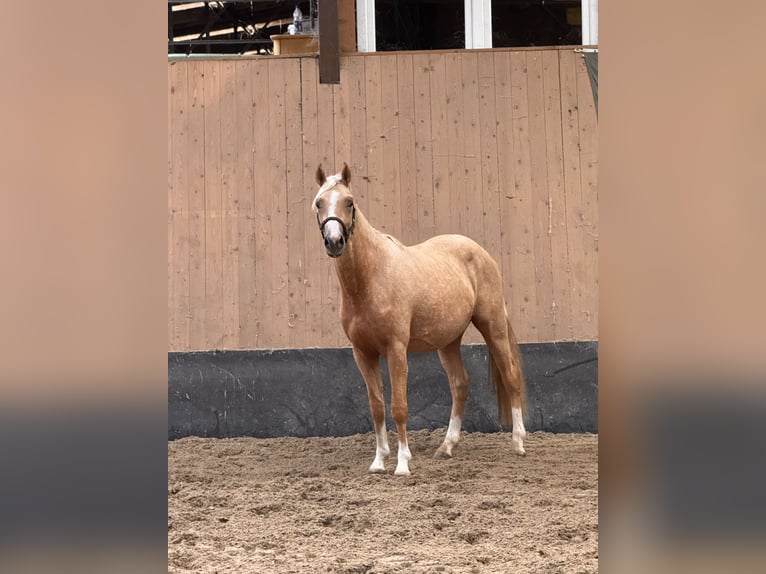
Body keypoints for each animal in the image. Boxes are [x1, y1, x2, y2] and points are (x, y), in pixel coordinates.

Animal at [312, 163, 528, 476]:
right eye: (319, 202)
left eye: (349, 202)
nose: (334, 241)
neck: (371, 279)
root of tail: (480, 253)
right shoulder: (363, 353)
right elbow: (377, 406)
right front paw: (379, 461)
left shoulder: (396, 350)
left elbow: (399, 406)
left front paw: (402, 463)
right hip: (449, 341)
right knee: (459, 384)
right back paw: (447, 446)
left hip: (493, 326)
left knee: (510, 376)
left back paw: (519, 442)